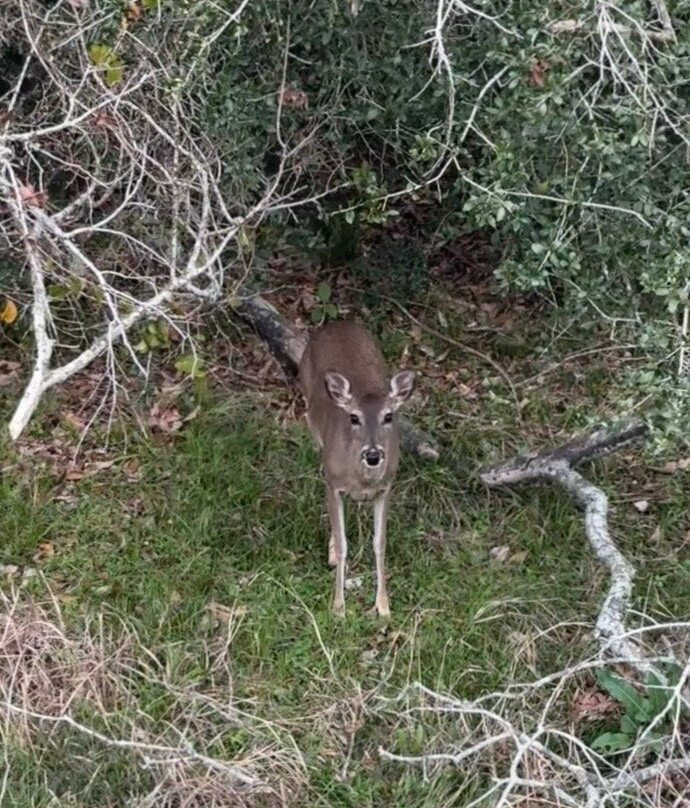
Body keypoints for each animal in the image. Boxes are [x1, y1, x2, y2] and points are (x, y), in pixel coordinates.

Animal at [296, 318, 414, 616]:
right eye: (354, 417)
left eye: (388, 416)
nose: (373, 454)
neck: (362, 480)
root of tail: (338, 322)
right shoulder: (333, 483)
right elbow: (343, 545)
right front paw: (338, 607)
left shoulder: (386, 487)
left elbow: (379, 544)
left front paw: (383, 606)